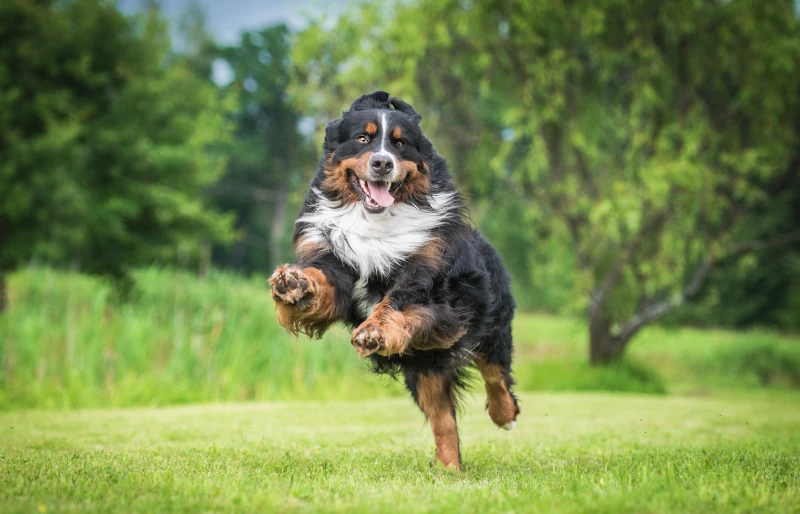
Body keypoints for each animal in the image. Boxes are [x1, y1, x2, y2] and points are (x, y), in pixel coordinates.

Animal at [268, 91, 520, 468]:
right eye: (362, 139)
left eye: (401, 144)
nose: (382, 164)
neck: (376, 220)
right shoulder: (336, 266)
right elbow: (324, 283)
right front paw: (295, 284)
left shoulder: (433, 286)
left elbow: (397, 302)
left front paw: (374, 331)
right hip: (424, 368)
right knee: (444, 421)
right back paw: (449, 470)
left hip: (488, 321)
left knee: (495, 372)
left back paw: (504, 415)